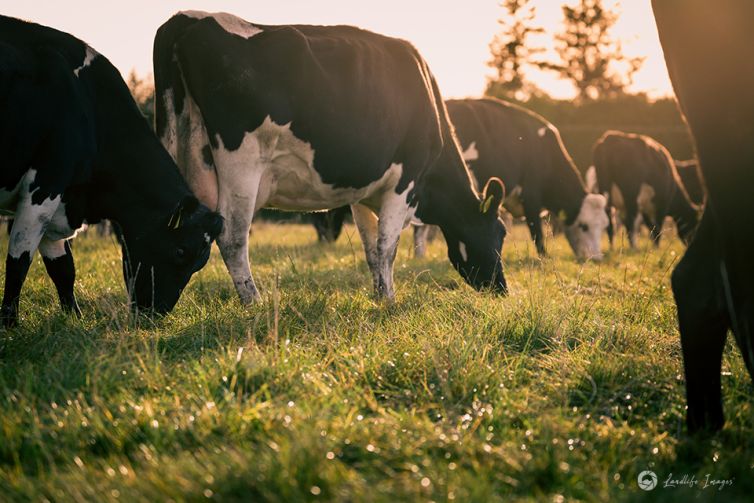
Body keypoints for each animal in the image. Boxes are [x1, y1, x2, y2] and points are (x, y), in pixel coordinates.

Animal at [0, 15, 223, 326]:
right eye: (180, 251)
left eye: (199, 264)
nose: (157, 312)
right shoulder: (45, 186)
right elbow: (19, 261)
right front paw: (10, 323)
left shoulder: (60, 202)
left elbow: (63, 269)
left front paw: (75, 319)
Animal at [153, 10, 506, 304]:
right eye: (500, 232)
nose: (501, 288)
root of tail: (188, 18)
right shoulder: (404, 182)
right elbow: (387, 247)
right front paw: (390, 300)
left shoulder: (365, 192)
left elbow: (371, 247)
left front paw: (379, 295)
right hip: (242, 163)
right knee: (232, 238)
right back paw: (254, 302)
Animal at [420, 99, 608, 260]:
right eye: (584, 226)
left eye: (604, 225)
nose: (596, 258)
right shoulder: (531, 195)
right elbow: (536, 230)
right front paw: (544, 257)